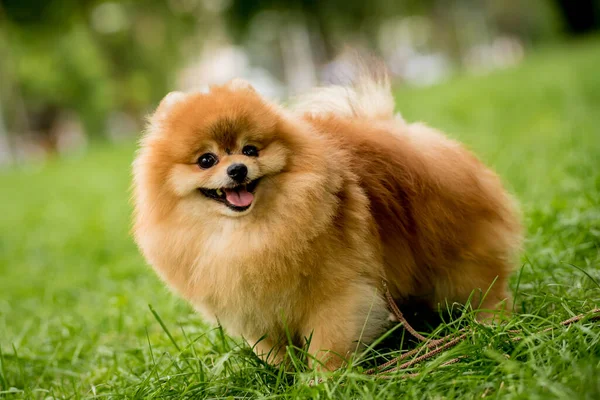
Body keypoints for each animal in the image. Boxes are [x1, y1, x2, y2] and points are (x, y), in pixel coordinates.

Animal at [131, 67, 520, 370]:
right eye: (207, 160)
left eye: (251, 150)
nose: (238, 169)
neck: (250, 232)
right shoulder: (255, 310)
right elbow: (272, 351)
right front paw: (283, 376)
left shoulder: (339, 294)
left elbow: (327, 344)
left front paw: (323, 380)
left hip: (458, 262)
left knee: (484, 289)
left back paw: (492, 325)